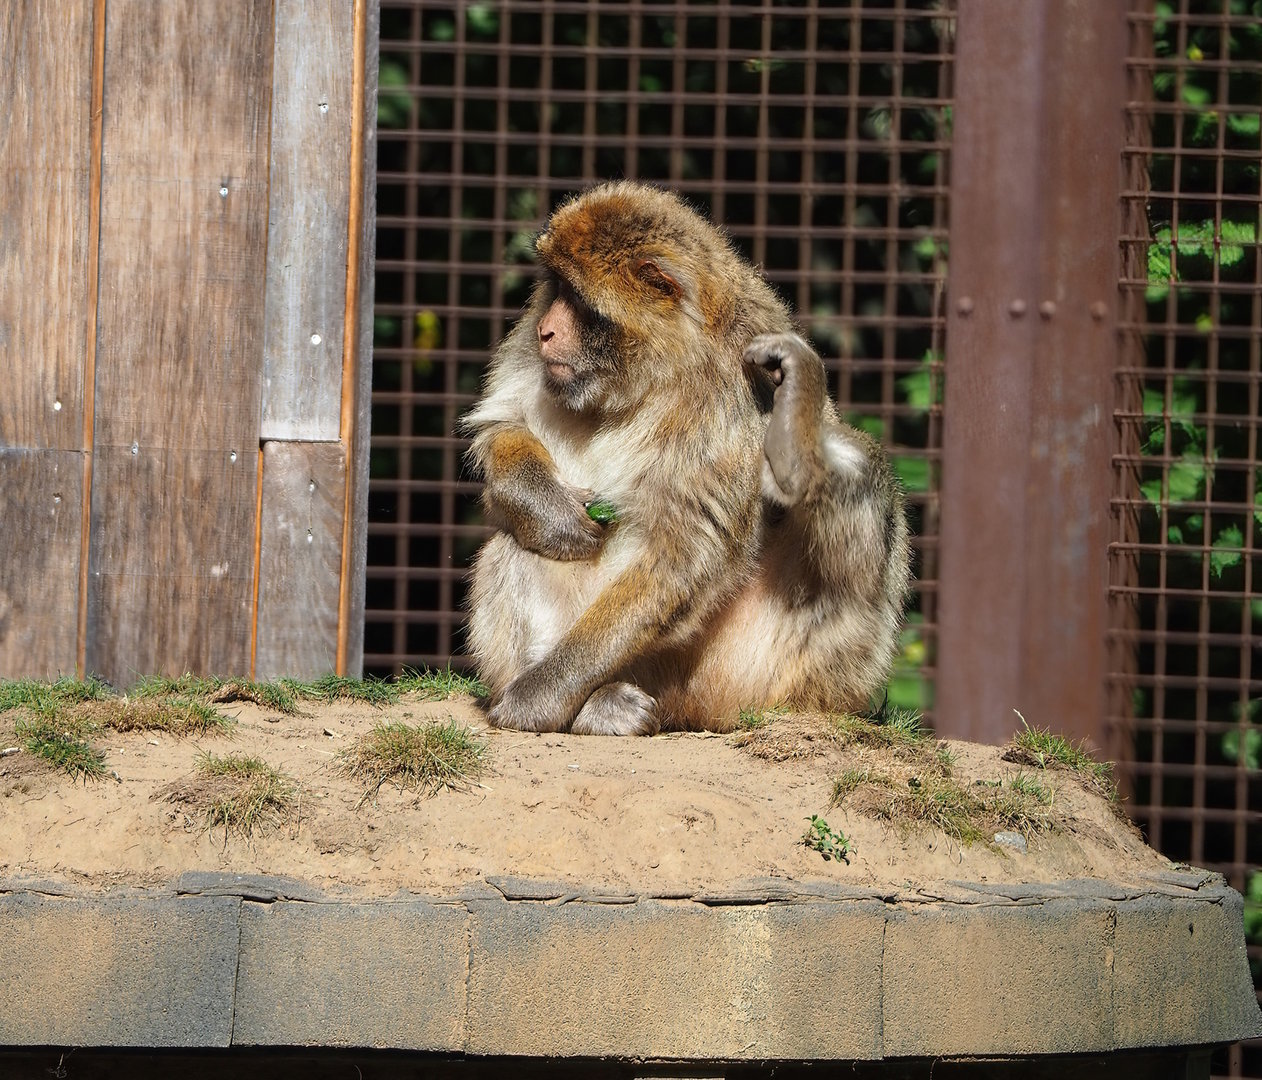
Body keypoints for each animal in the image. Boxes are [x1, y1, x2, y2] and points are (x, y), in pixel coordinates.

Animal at [461, 181, 910, 736]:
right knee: (518, 541)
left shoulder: (730, 396)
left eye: (580, 304)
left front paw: (542, 694)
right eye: (556, 289)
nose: (545, 329)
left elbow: (684, 553)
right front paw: (548, 508)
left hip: (789, 676)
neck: (654, 375)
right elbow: (503, 423)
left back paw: (797, 446)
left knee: (864, 475)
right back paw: (597, 702)